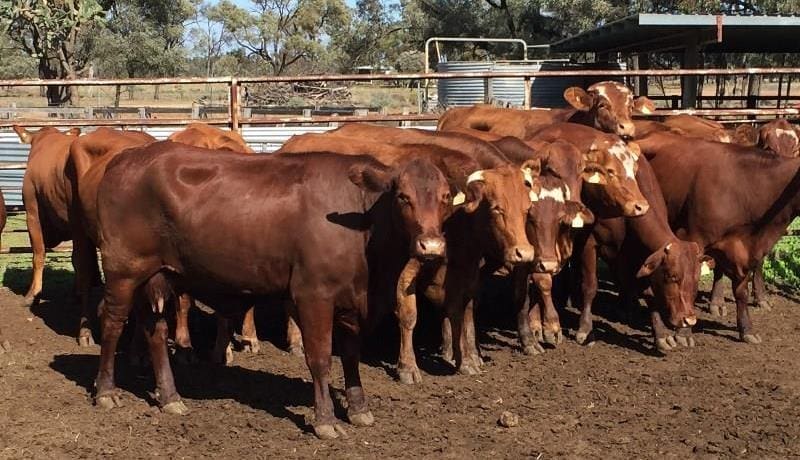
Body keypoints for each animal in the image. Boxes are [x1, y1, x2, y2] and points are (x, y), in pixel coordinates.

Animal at [93, 144, 454, 438]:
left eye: (446, 197)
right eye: (403, 196)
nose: (432, 246)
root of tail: (127, 158)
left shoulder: (353, 302)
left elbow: (351, 355)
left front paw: (359, 409)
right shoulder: (314, 295)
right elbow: (320, 358)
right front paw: (325, 420)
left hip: (155, 277)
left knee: (155, 332)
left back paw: (170, 398)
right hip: (122, 272)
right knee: (111, 323)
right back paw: (106, 392)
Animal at [640, 131, 800, 344]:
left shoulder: (744, 252)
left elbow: (741, 291)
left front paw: (746, 329)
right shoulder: (693, 238)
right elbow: (689, 283)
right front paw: (684, 333)